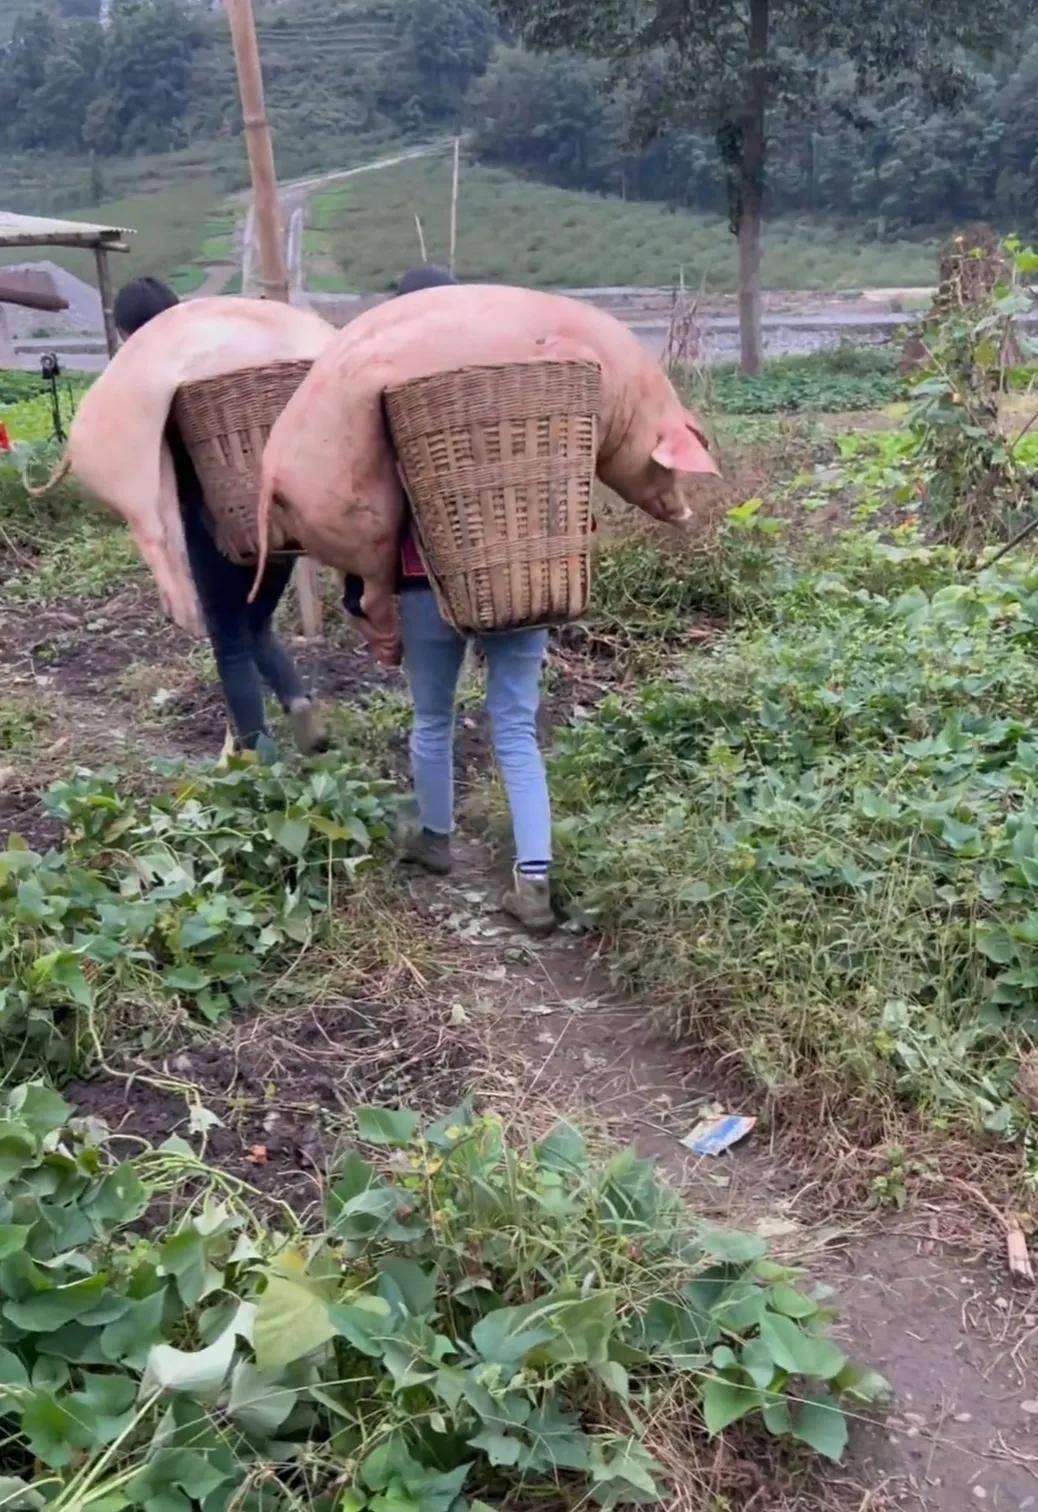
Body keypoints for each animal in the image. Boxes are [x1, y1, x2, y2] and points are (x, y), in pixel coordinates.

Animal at [258, 285, 713, 659]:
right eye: (671, 467)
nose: (688, 516)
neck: (630, 398)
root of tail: (272, 472)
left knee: (351, 598)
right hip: (363, 519)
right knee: (371, 597)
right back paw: (393, 651)